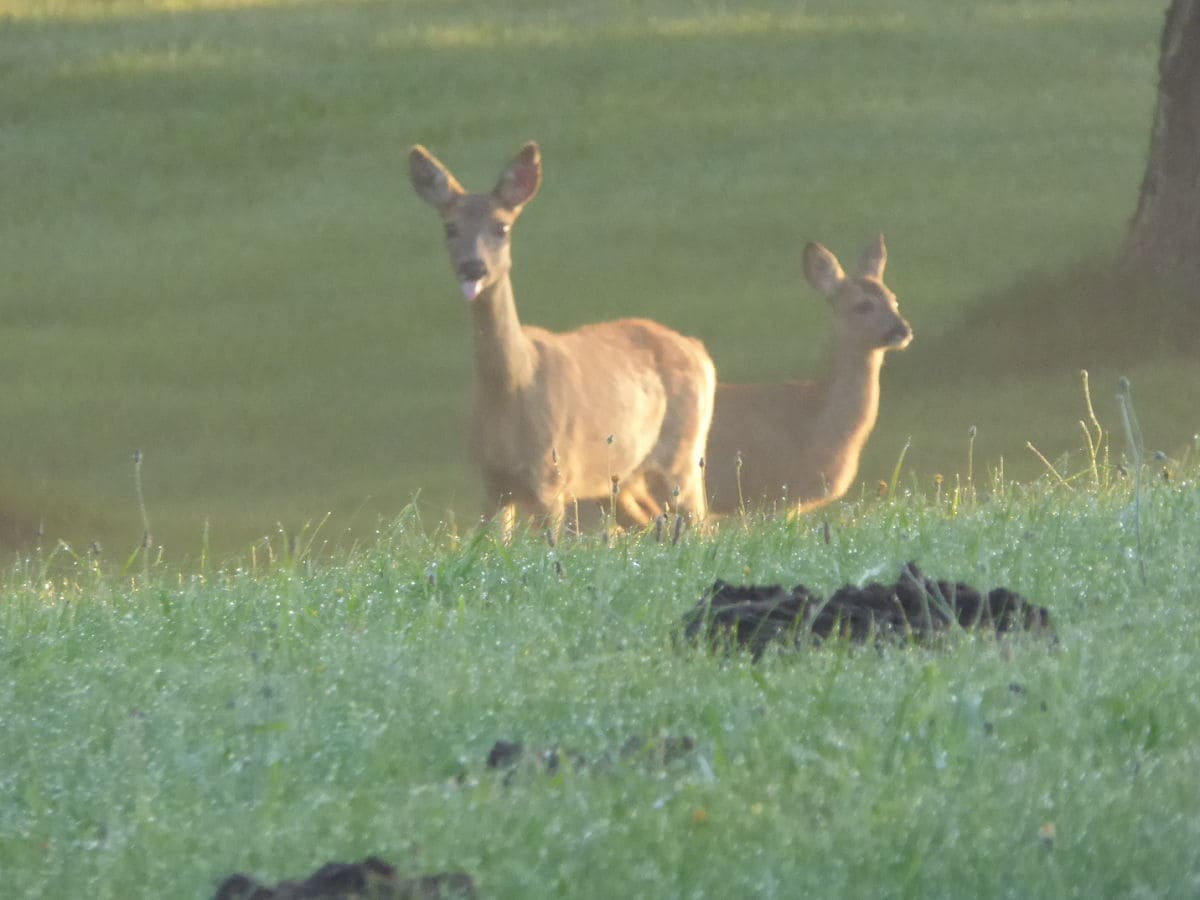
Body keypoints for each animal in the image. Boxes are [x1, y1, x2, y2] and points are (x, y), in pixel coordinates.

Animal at [408, 141, 715, 535]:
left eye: (502, 227)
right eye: (449, 227)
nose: (473, 268)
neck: (511, 392)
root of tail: (698, 349)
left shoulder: (551, 477)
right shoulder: (490, 484)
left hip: (683, 456)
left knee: (701, 523)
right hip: (619, 480)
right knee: (650, 522)